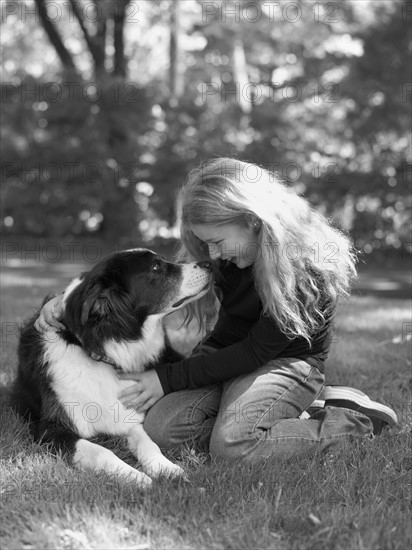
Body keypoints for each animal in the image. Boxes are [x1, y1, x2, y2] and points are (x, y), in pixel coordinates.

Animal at [12, 248, 212, 490]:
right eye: (156, 267)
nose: (209, 264)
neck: (103, 353)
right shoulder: (50, 429)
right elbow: (101, 451)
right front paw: (136, 477)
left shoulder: (127, 415)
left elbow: (148, 443)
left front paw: (165, 468)